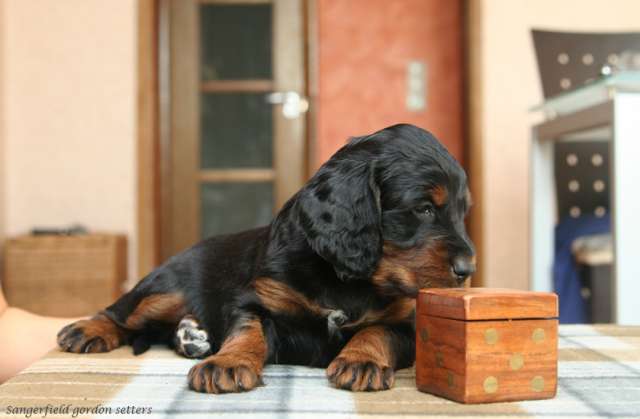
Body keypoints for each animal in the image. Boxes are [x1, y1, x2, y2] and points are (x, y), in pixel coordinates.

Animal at [56, 124, 476, 394]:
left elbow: (377, 331)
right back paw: (89, 331)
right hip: (168, 286)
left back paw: (192, 336)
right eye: (423, 209)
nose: (468, 270)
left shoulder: (405, 321)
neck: (345, 278)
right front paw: (227, 364)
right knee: (124, 311)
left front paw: (362, 361)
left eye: (462, 211)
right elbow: (248, 330)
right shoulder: (258, 299)